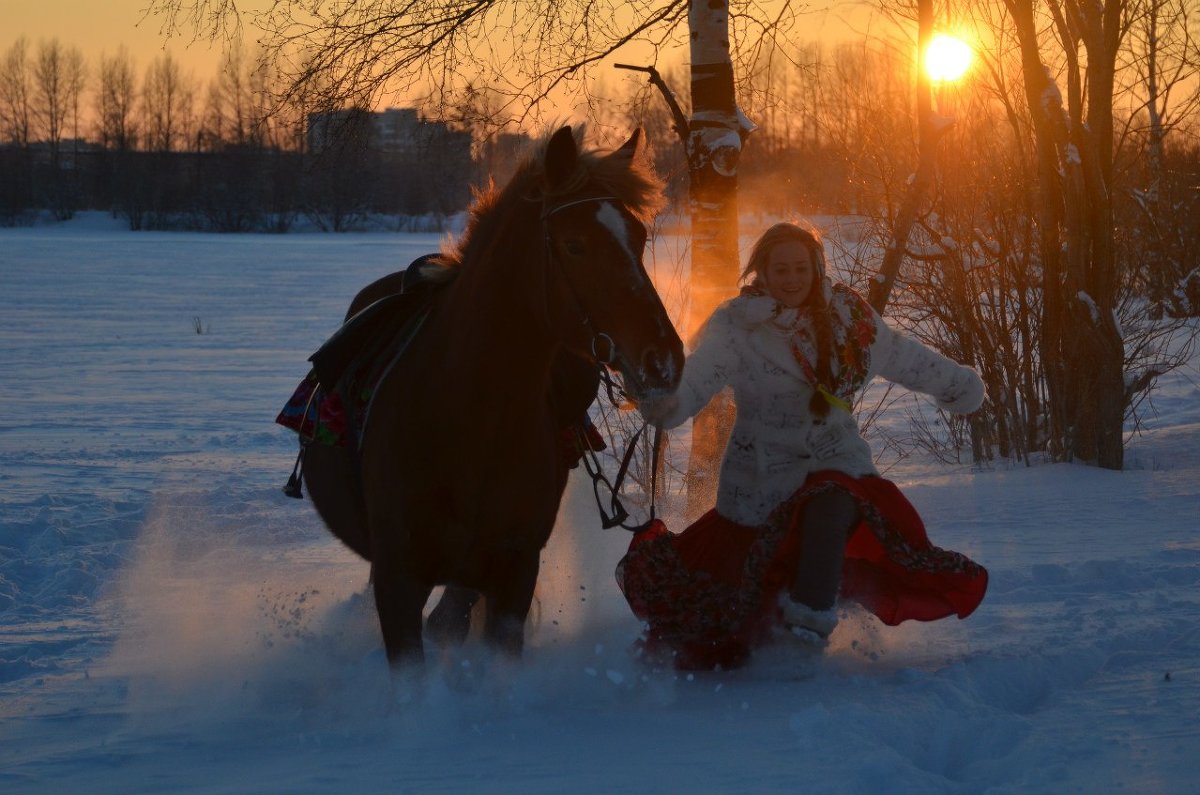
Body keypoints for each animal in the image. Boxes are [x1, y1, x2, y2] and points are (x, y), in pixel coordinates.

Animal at [300, 126, 686, 672]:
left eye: (639, 237)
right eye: (575, 245)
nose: (664, 361)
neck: (468, 417)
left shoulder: (511, 575)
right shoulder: (399, 579)